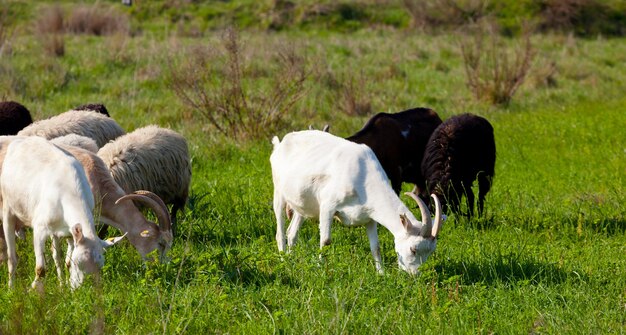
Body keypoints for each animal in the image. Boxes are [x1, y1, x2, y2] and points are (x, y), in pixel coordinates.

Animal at [0, 138, 123, 290]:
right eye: (78, 263)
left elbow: (65, 261)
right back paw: (11, 288)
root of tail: (20, 140)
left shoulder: (68, 232)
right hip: (8, 210)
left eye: (100, 266)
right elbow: (41, 269)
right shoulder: (39, 229)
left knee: (56, 255)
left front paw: (64, 286)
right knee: (12, 258)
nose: (84, 290)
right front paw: (32, 289)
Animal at [266, 130, 438, 274]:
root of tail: (280, 144)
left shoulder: (370, 217)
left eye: (430, 252)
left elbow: (376, 247)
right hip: (279, 193)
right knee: (280, 232)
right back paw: (284, 261)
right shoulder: (328, 206)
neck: (363, 177)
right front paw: (321, 270)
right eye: (413, 249)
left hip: (302, 204)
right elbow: (326, 240)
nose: (415, 275)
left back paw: (291, 260)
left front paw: (381, 274)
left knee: (292, 232)